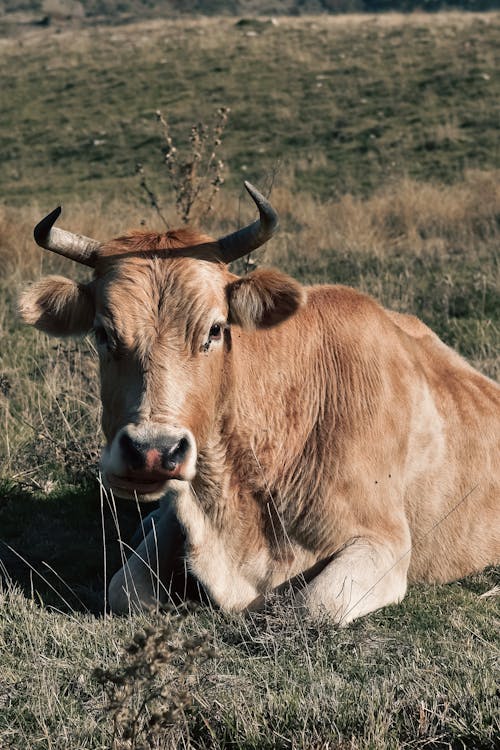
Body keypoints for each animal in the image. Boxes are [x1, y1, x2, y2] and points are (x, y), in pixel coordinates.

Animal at [20, 185, 500, 624]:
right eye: (103, 333)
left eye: (215, 329)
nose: (152, 453)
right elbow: (125, 591)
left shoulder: (385, 542)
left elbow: (313, 605)